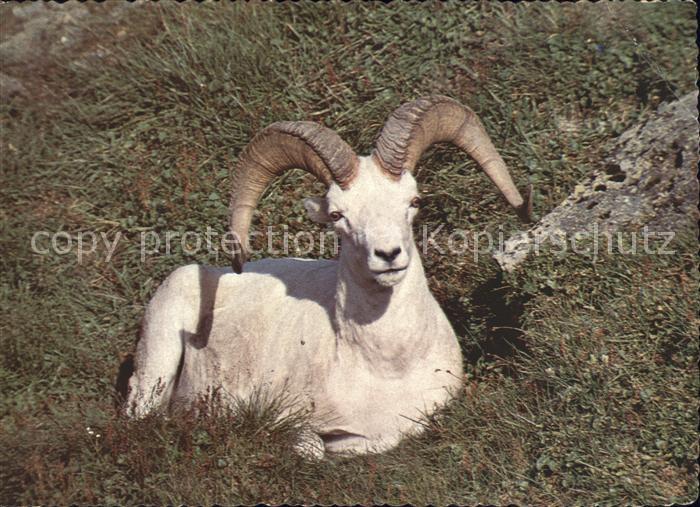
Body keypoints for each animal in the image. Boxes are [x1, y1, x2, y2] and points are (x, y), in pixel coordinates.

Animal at [125, 95, 532, 458]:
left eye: (413, 201)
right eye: (337, 214)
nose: (388, 255)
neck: (387, 369)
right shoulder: (287, 419)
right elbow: (313, 448)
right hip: (157, 366)